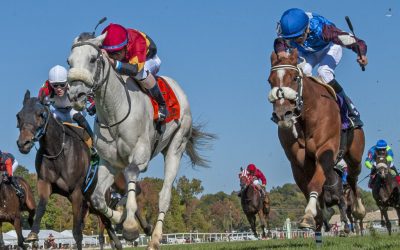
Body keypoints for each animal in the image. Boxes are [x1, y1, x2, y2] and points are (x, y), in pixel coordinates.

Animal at [67, 33, 214, 250]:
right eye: (69, 61)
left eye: (93, 59)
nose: (75, 95)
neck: (114, 111)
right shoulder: (109, 163)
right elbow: (97, 199)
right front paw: (119, 217)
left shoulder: (139, 156)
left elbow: (131, 174)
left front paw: (129, 227)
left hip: (176, 146)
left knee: (164, 195)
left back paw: (155, 239)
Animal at [268, 49, 366, 233]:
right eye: (270, 80)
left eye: (294, 78)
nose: (282, 114)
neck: (307, 113)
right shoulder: (297, 160)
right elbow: (308, 188)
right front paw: (319, 217)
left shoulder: (325, 150)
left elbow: (316, 183)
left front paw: (308, 215)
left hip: (355, 154)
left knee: (353, 177)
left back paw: (359, 209)